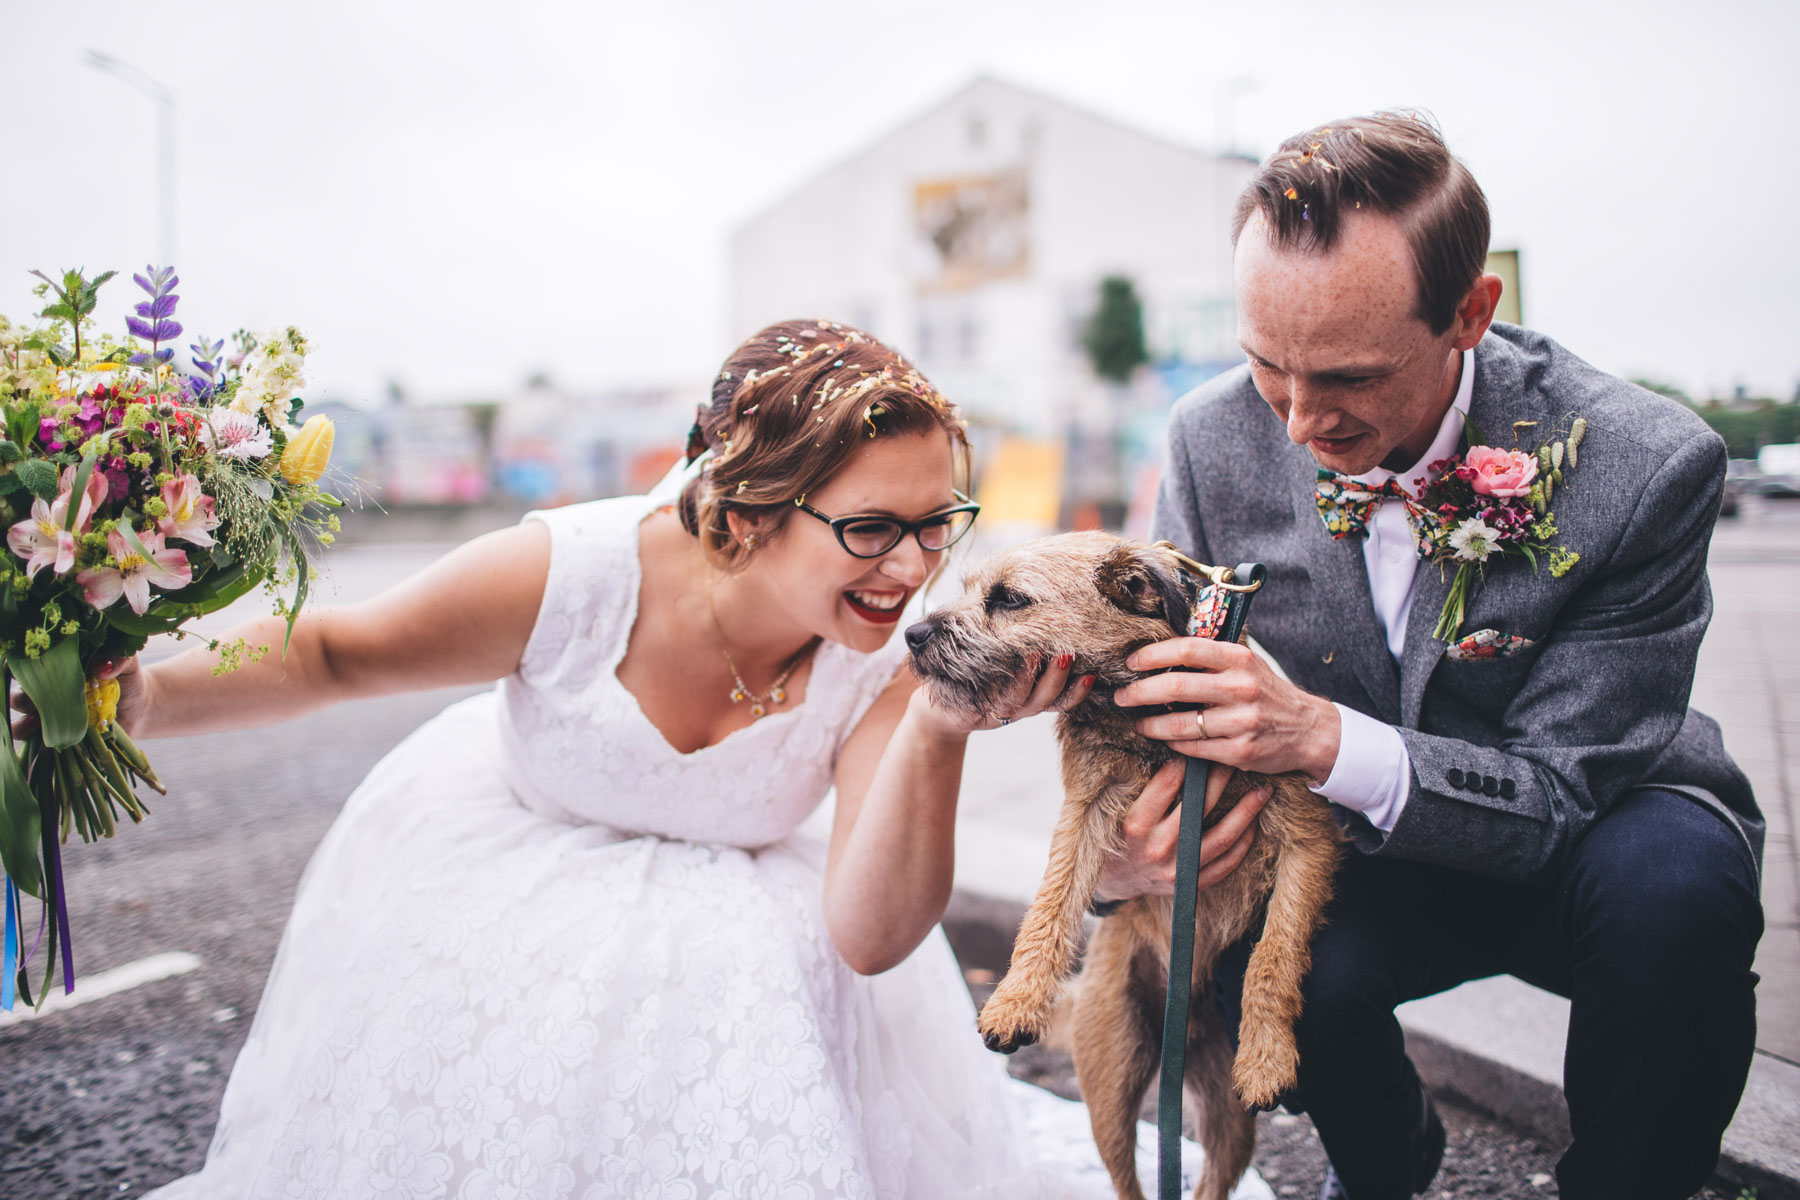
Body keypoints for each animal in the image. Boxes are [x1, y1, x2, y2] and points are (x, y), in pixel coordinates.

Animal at [907, 536, 1346, 1200]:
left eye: (1009, 599)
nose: (912, 634)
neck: (1151, 710)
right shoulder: (1085, 810)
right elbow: (1050, 903)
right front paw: (1014, 1002)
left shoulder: (1306, 835)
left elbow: (1275, 956)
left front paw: (1267, 1057)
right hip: (1111, 1093)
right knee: (1128, 1179)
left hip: (1227, 1123)